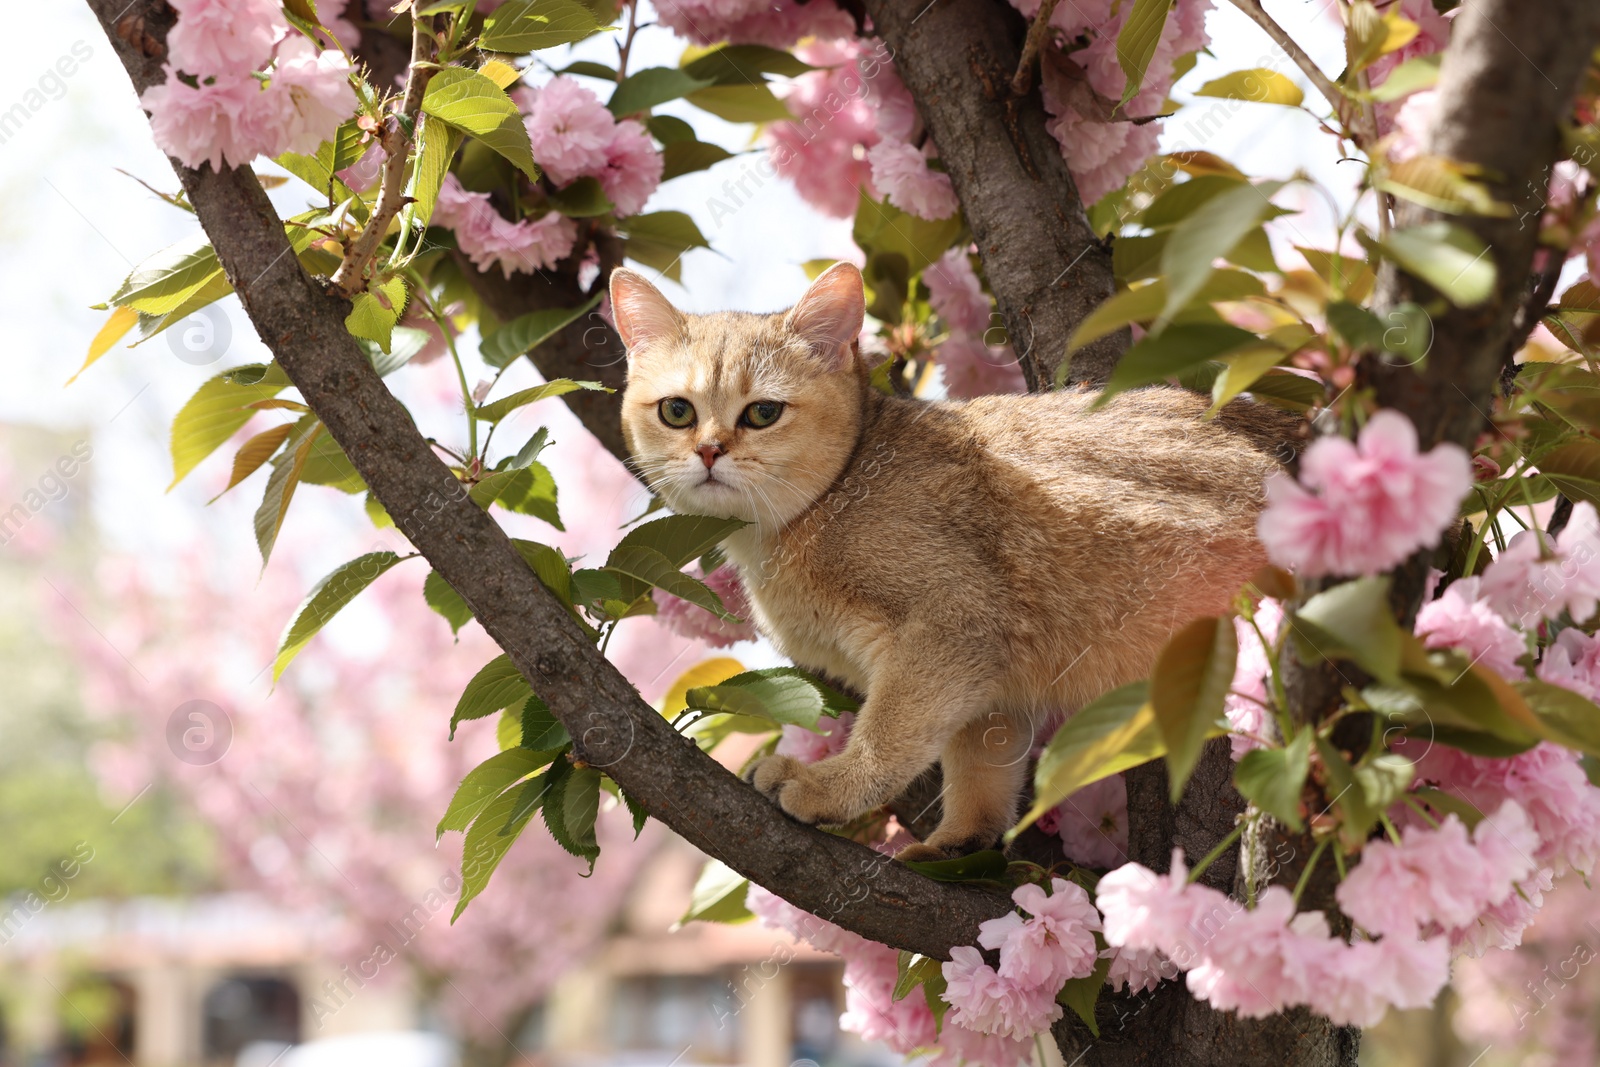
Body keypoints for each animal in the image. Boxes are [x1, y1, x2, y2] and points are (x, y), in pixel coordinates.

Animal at [604, 262, 1292, 863]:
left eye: (763, 412)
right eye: (677, 411)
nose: (709, 451)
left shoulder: (952, 621)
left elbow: (890, 735)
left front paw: (833, 788)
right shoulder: (989, 683)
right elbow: (981, 766)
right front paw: (962, 841)